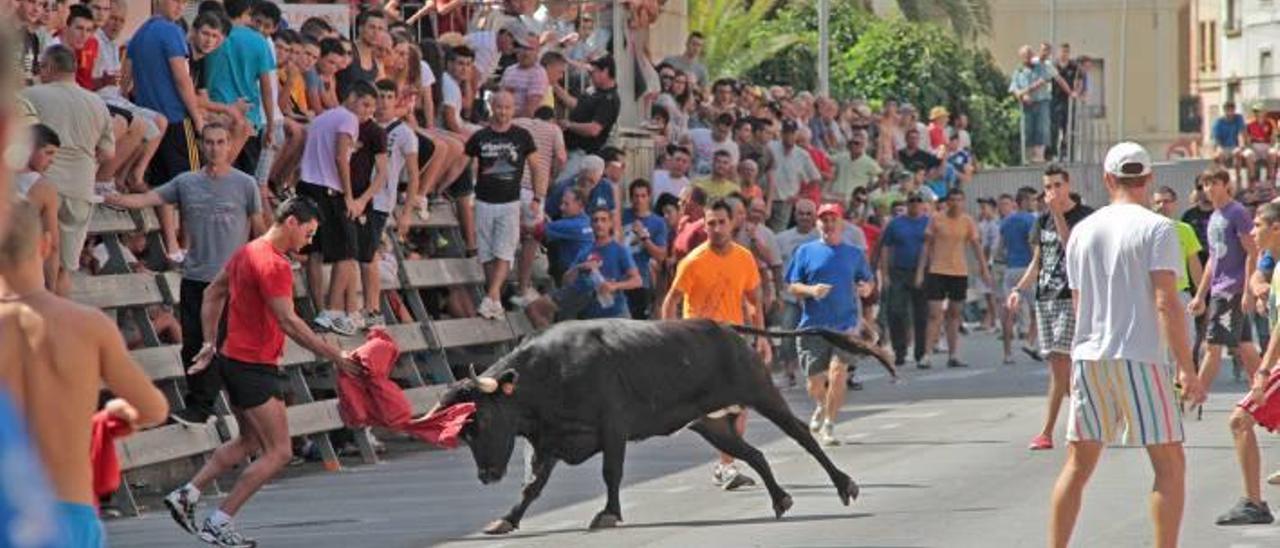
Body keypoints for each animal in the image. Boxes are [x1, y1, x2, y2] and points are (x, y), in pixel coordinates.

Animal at [435, 318, 896, 532]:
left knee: (801, 435)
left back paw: (845, 486)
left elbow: (611, 472)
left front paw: (608, 513)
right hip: (708, 421)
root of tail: (725, 327)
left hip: (762, 393)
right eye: (463, 431)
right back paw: (781, 500)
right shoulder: (546, 442)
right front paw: (505, 520)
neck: (548, 375)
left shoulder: (613, 426)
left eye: (481, 419)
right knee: (753, 453)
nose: (487, 475)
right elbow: (532, 487)